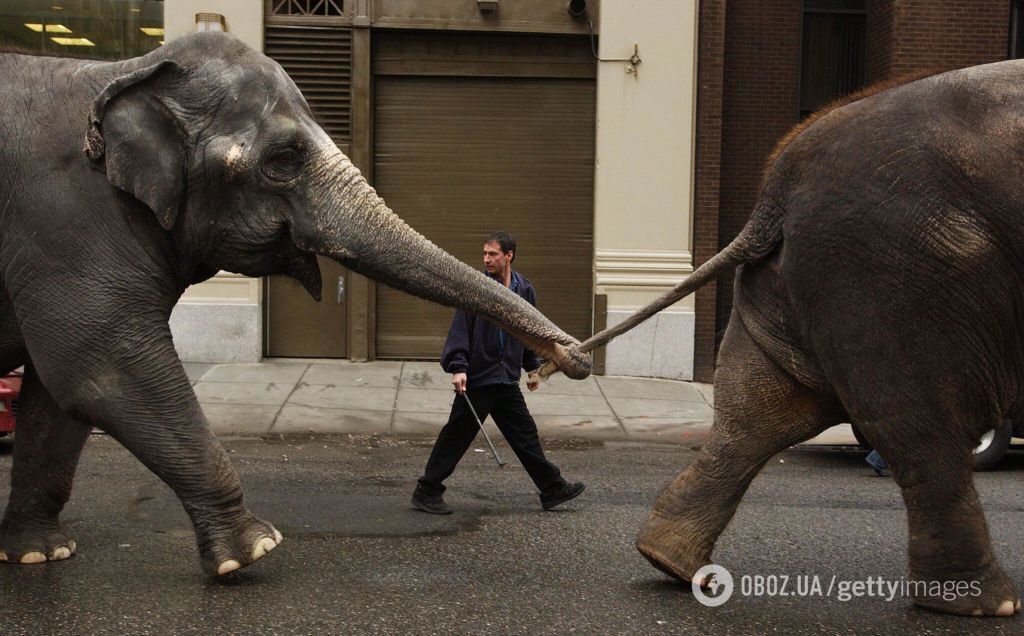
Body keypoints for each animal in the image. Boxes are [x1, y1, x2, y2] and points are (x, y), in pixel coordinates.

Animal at [0, 33, 593, 573]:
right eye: (284, 158)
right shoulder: (64, 224)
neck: (125, 68)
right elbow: (98, 368)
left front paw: (41, 553)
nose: (576, 357)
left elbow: (59, 392)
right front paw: (254, 550)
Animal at [552, 60, 1024, 614]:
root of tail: (782, 184)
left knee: (759, 411)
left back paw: (670, 563)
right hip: (895, 278)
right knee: (924, 428)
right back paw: (983, 605)